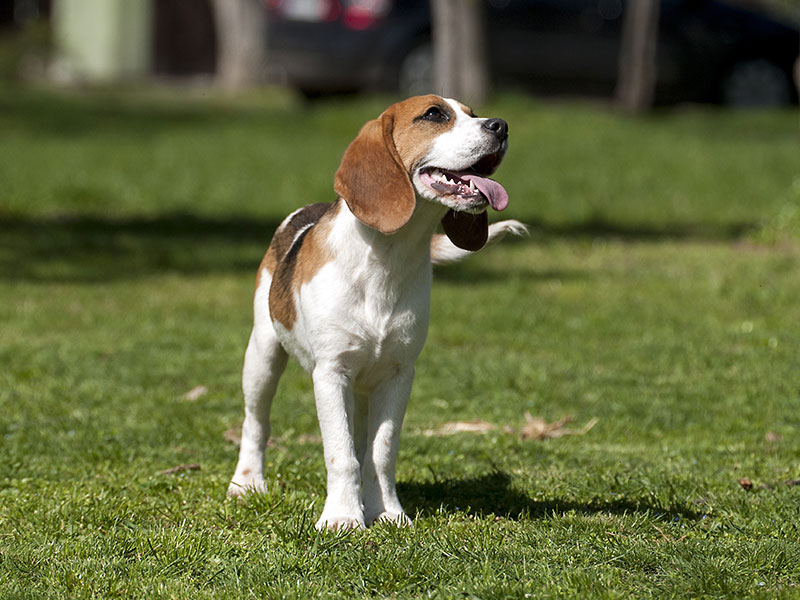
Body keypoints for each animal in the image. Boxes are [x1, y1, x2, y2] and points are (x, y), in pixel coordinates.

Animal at [227, 95, 524, 528]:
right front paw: (342, 517)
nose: (500, 125)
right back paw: (246, 482)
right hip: (262, 356)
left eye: (472, 113)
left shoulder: (398, 375)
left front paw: (386, 512)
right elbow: (341, 453)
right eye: (434, 114)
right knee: (256, 422)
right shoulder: (331, 373)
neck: (389, 257)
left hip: (363, 388)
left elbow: (380, 453)